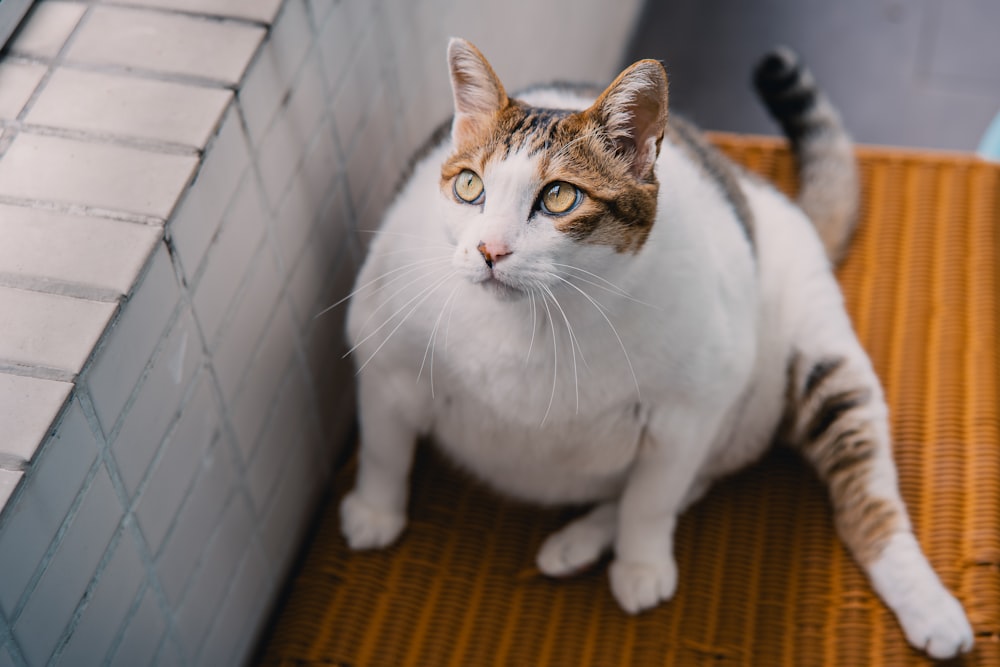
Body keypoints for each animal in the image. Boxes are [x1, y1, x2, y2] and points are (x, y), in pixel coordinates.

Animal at [336, 37, 968, 656]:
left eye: (559, 197)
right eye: (470, 186)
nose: (489, 250)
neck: (535, 322)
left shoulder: (691, 411)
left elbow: (653, 497)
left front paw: (641, 564)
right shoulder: (381, 349)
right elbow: (385, 447)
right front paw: (374, 510)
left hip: (820, 357)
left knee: (860, 489)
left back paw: (928, 604)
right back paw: (577, 542)